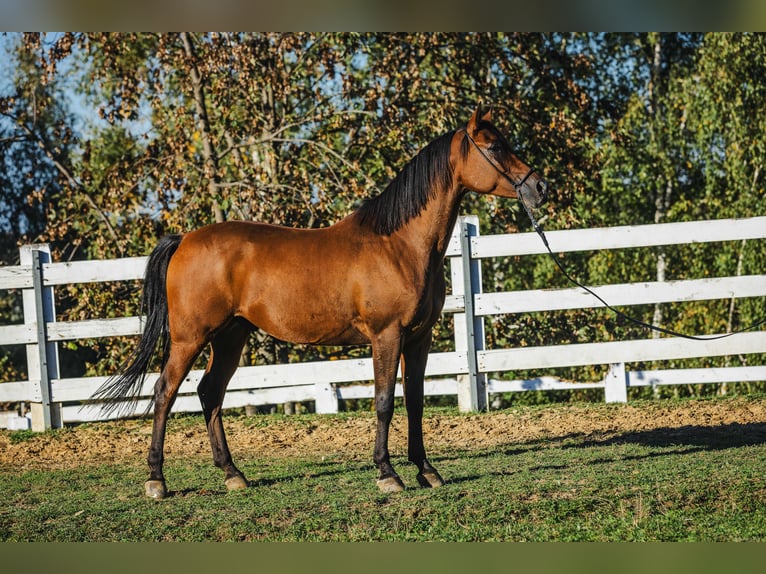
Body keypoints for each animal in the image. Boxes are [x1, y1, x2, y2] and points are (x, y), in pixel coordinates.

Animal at [96, 104, 548, 500]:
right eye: (493, 147)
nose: (539, 186)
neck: (399, 244)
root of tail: (185, 239)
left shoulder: (419, 339)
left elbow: (415, 401)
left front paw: (426, 470)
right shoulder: (386, 337)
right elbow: (384, 402)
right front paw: (387, 474)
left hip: (230, 336)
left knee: (210, 393)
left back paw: (232, 474)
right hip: (191, 337)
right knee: (165, 393)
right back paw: (157, 480)